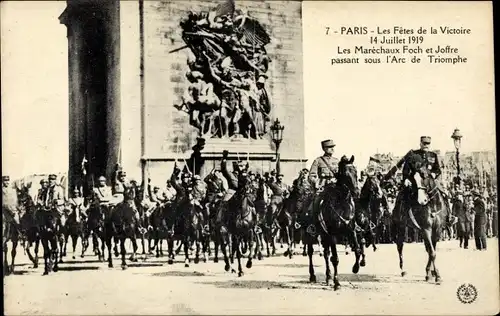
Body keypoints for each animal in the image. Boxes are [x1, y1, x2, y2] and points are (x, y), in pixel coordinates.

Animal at [304, 154, 360, 290]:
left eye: (355, 172)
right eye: (345, 174)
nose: (357, 192)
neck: (342, 203)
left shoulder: (351, 230)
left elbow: (357, 250)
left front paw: (356, 268)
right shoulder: (332, 234)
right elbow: (335, 258)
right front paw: (337, 282)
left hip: (324, 235)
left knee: (325, 253)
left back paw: (328, 277)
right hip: (309, 234)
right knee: (310, 253)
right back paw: (313, 276)